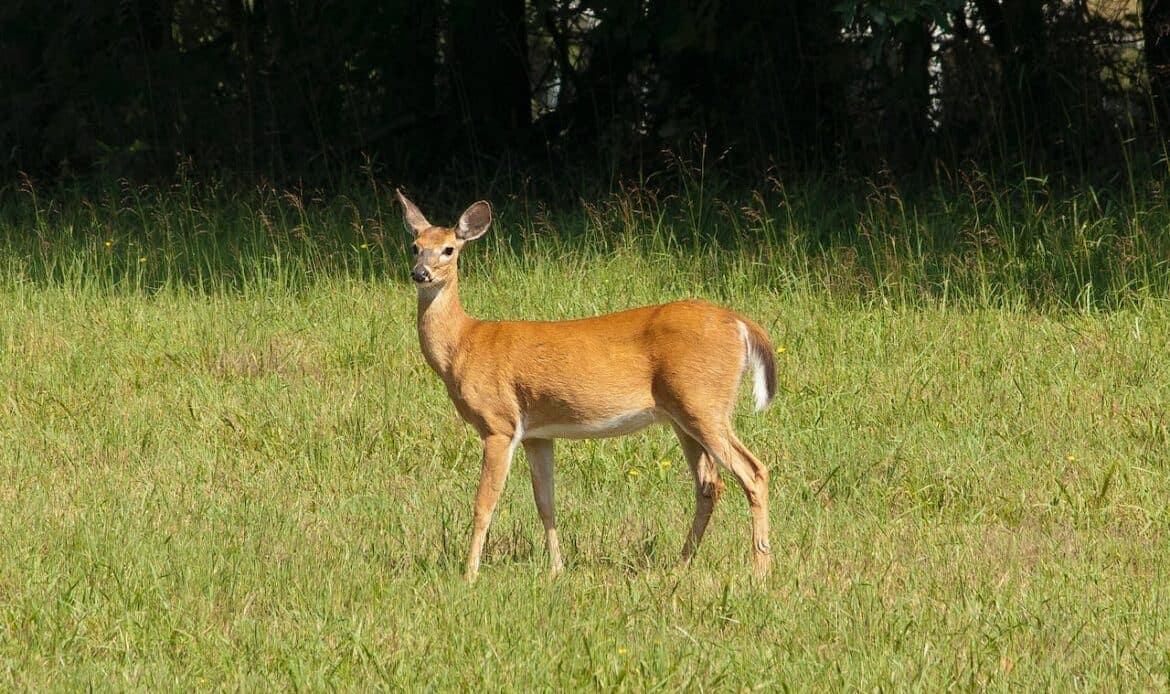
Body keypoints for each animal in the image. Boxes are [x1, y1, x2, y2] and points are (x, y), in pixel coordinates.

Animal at [396, 190, 777, 581]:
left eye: (448, 249)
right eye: (415, 246)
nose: (420, 273)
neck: (463, 344)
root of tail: (741, 324)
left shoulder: (498, 423)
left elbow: (484, 503)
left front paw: (469, 574)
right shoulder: (537, 433)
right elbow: (545, 502)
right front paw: (556, 569)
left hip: (703, 402)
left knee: (753, 471)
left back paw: (761, 569)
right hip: (683, 415)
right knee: (709, 484)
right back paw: (681, 564)